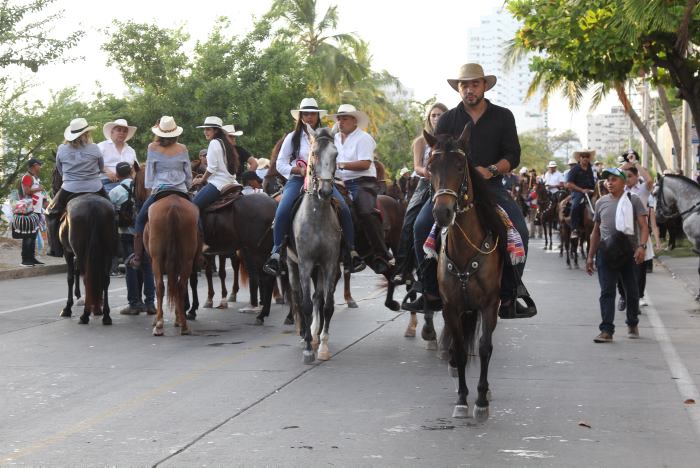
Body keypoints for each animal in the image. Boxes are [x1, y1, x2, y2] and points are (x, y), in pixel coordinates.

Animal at [58, 194, 117, 326]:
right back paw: (106, 315)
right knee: (105, 280)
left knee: (86, 279)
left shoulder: (67, 252)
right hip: (108, 252)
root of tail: (94, 206)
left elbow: (70, 278)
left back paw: (85, 315)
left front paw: (67, 308)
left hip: (81, 253)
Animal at [146, 194, 201, 336]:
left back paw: (160, 324)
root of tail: (173, 207)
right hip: (186, 260)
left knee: (160, 286)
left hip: (156, 259)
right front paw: (179, 318)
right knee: (180, 286)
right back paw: (183, 325)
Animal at [422, 123, 504, 420]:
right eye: (430, 166)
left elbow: (485, 347)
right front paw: (461, 399)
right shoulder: (451, 306)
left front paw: (480, 400)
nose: (442, 212)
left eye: (460, 166)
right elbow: (457, 348)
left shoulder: (490, 304)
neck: (464, 251)